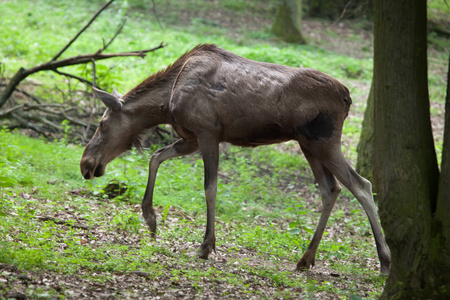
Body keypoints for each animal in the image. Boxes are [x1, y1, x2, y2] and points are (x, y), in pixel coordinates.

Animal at [81, 43, 390, 274]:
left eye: (102, 124)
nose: (86, 164)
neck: (165, 104)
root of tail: (348, 98)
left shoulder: (208, 132)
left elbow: (210, 187)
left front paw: (206, 245)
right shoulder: (191, 138)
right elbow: (155, 157)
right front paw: (150, 218)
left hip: (323, 141)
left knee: (361, 185)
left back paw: (385, 261)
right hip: (308, 144)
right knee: (331, 188)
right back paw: (306, 258)